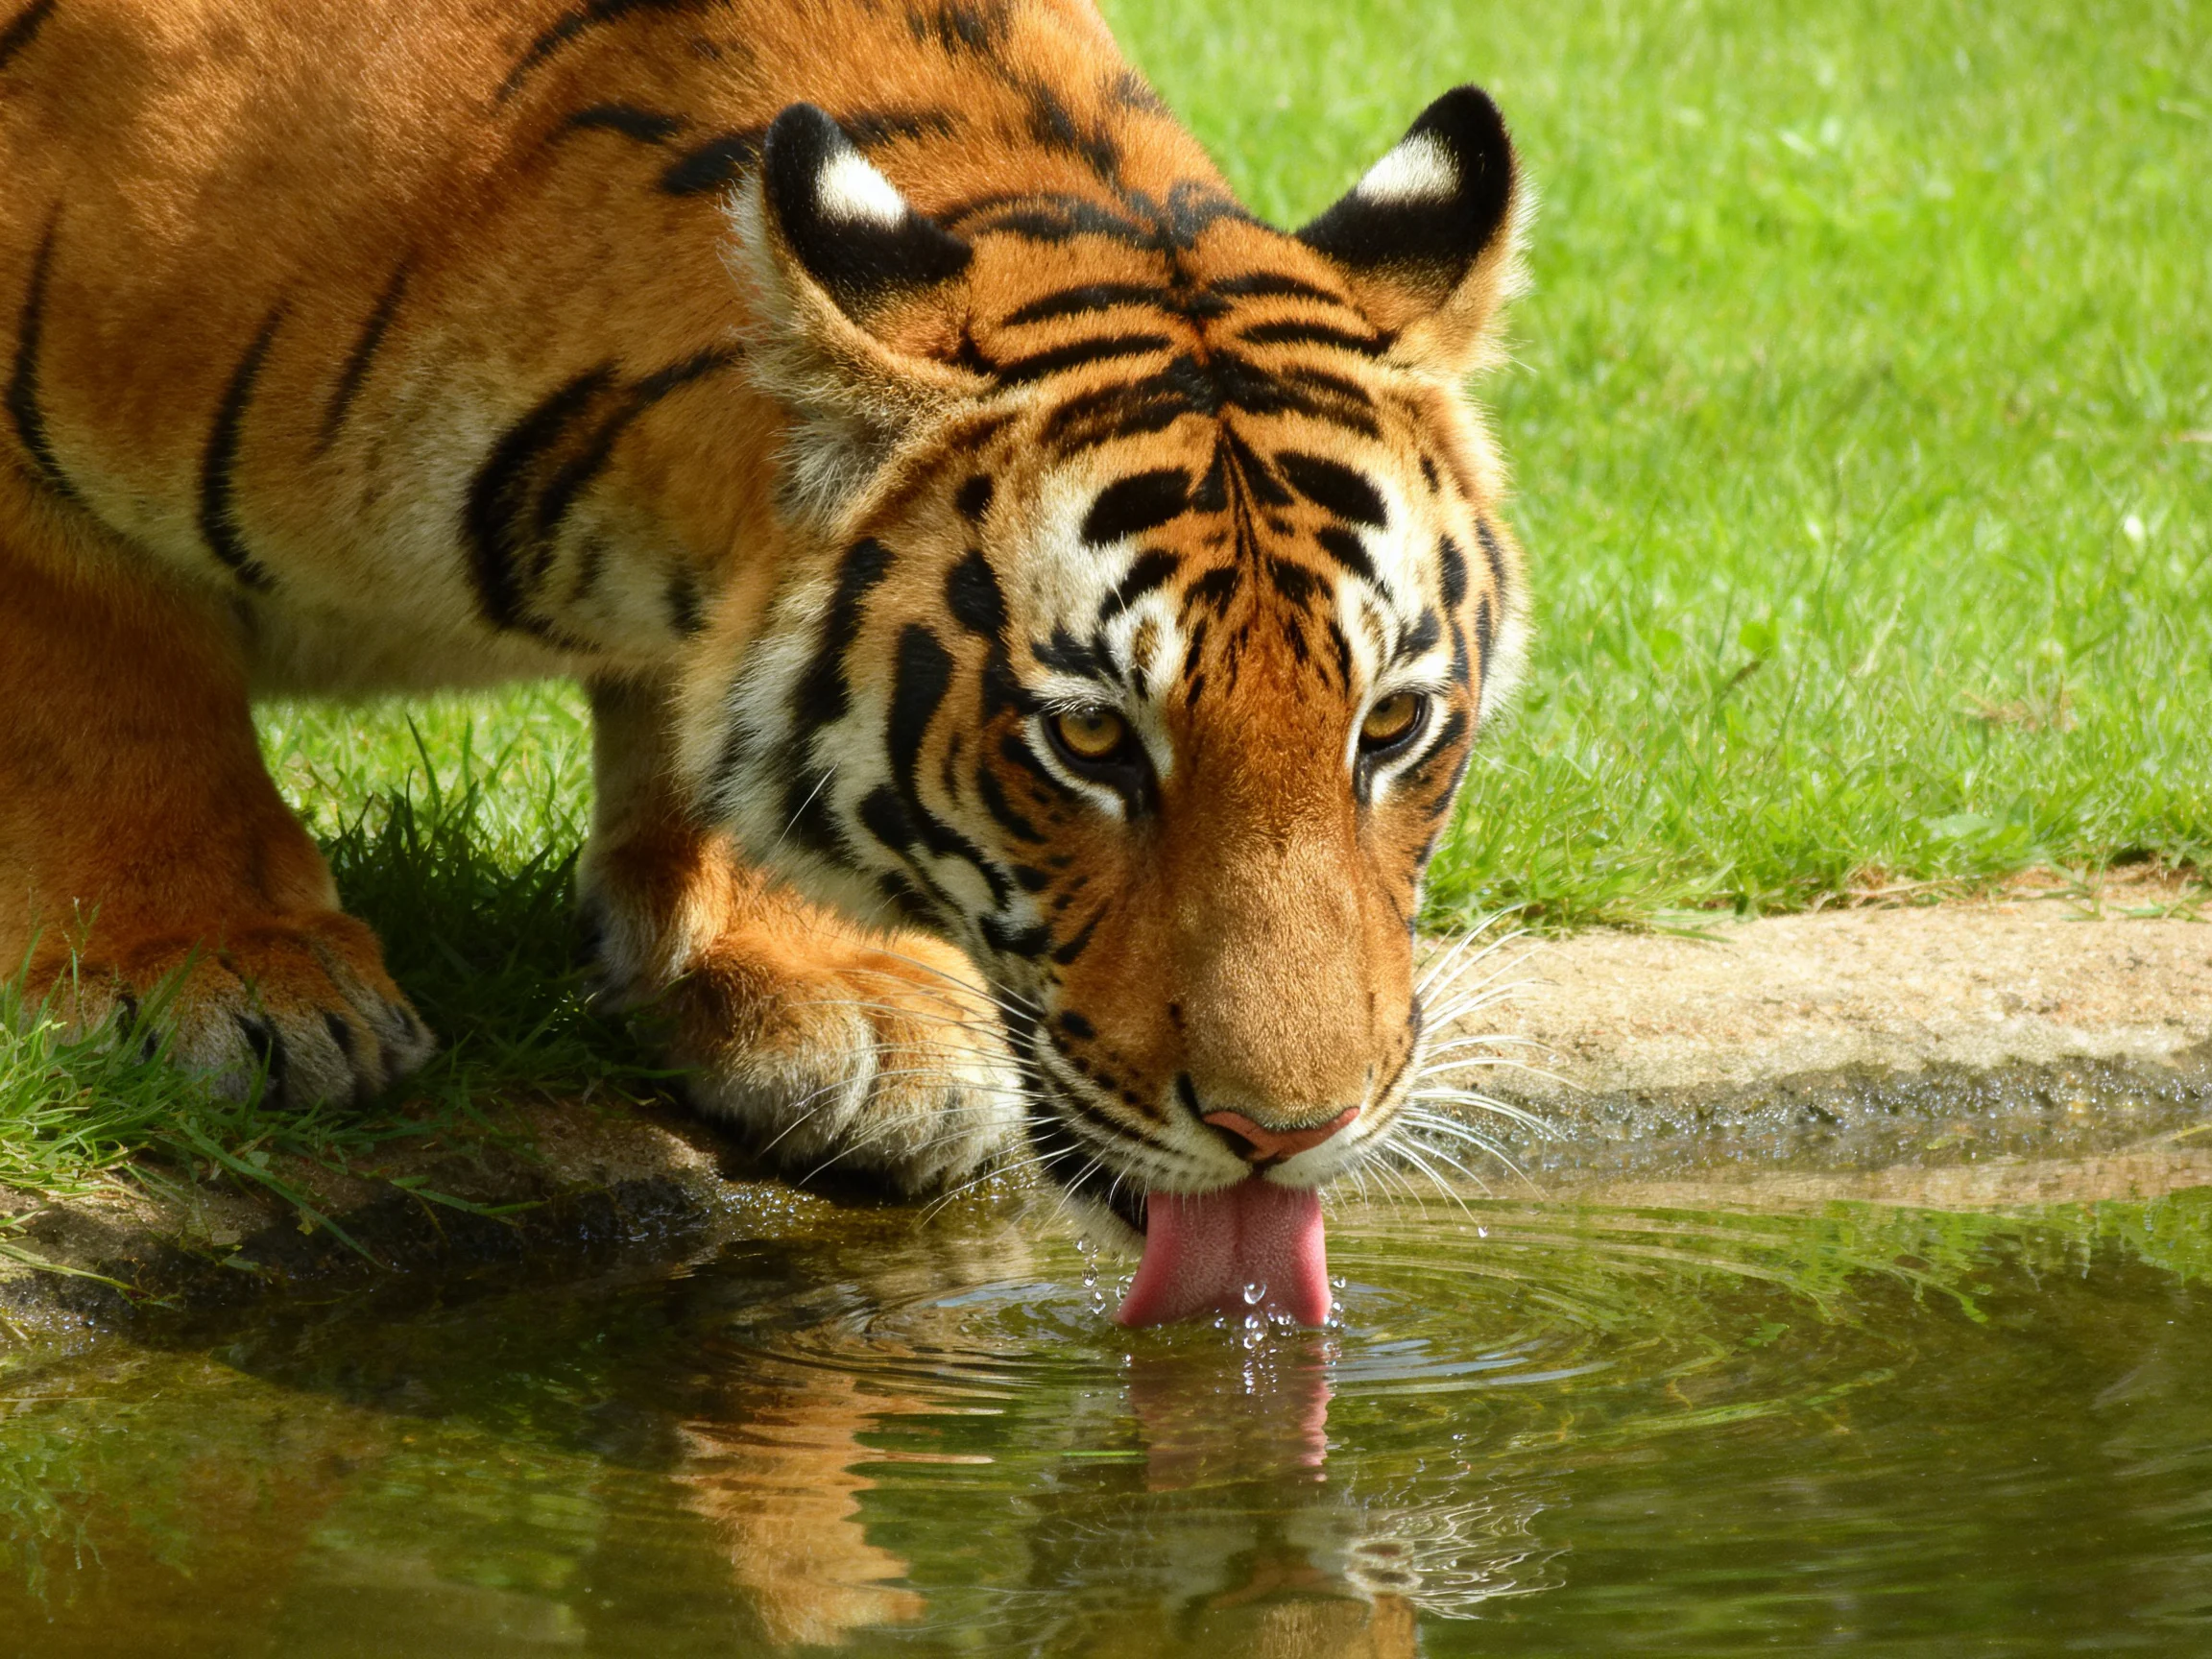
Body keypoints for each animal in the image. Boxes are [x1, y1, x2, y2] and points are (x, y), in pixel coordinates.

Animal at [0, 0, 1530, 1323]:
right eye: (1090, 739)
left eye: (1391, 726)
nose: (1291, 1132)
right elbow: (112, 699)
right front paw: (218, 974)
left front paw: (830, 995)